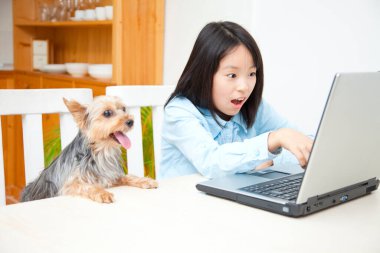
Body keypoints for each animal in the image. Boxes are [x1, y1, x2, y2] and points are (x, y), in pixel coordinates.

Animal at [21, 95, 157, 204]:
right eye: (107, 113)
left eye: (123, 109)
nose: (130, 121)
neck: (100, 152)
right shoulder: (69, 185)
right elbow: (87, 186)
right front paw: (103, 193)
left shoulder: (110, 176)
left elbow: (128, 176)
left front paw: (145, 180)